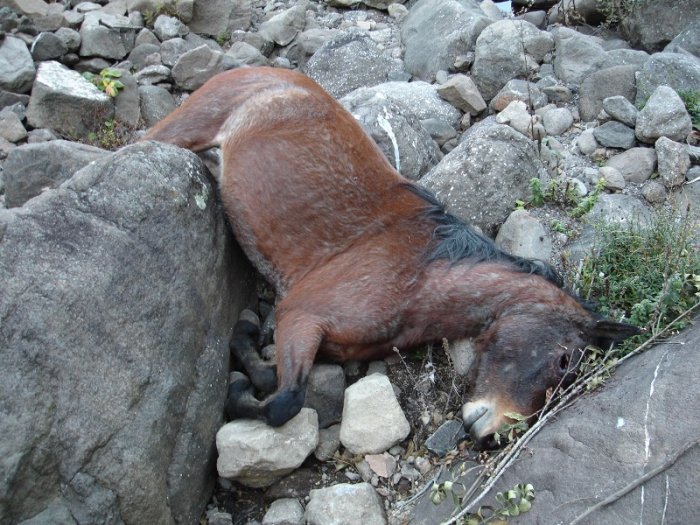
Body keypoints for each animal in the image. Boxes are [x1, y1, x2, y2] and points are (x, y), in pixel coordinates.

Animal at [142, 66, 638, 447]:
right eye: (562, 362)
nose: (492, 435)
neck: (419, 276)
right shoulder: (300, 315)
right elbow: (285, 401)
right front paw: (239, 377)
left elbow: (273, 381)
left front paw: (246, 348)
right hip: (186, 127)